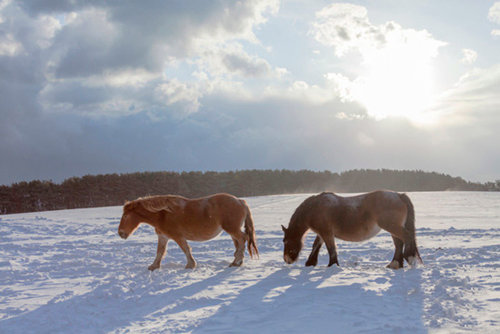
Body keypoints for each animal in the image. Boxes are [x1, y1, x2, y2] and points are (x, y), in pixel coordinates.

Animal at [116, 193, 258, 268]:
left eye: (125, 216)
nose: (120, 233)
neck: (163, 214)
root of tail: (240, 201)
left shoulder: (177, 236)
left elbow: (185, 249)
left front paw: (190, 265)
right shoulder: (163, 237)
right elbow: (160, 252)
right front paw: (153, 267)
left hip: (232, 229)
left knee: (243, 238)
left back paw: (237, 261)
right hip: (231, 230)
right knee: (239, 243)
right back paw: (236, 262)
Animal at [282, 190, 422, 268]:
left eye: (285, 241)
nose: (286, 260)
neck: (315, 208)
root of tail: (399, 195)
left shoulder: (326, 233)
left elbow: (331, 248)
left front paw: (332, 265)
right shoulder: (322, 233)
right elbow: (316, 245)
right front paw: (310, 263)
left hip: (392, 226)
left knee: (407, 238)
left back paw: (409, 258)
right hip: (393, 228)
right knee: (399, 243)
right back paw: (394, 264)